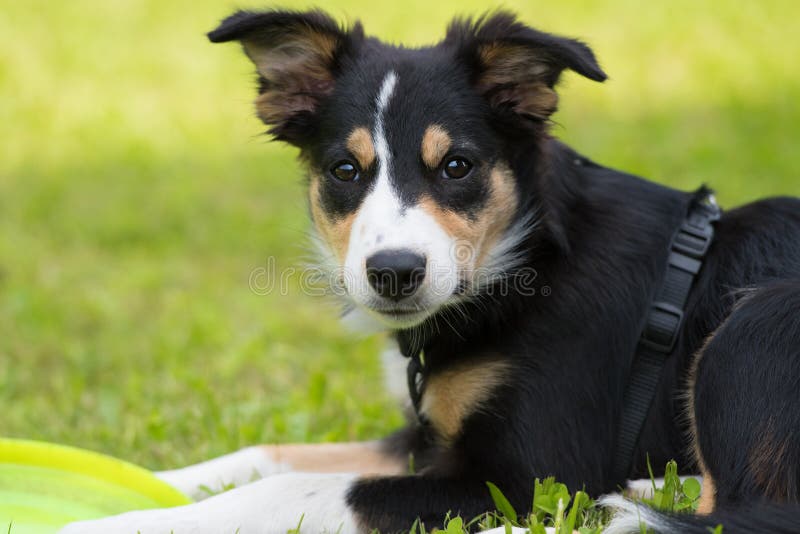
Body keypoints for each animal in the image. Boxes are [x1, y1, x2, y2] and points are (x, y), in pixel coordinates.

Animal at [61, 8, 800, 534]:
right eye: (345, 170)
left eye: (457, 166)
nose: (394, 273)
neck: (522, 263)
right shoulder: (426, 438)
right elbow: (264, 455)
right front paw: (136, 479)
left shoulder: (526, 472)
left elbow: (298, 486)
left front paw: (114, 523)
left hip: (749, 327)